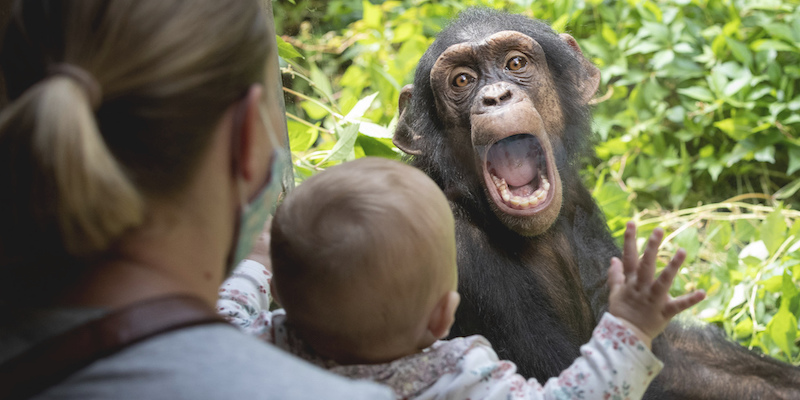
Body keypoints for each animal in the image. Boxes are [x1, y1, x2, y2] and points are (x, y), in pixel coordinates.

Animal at [394, 7, 800, 398]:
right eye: (462, 81)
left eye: (515, 64)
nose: (495, 96)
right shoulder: (455, 251)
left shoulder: (579, 202)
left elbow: (667, 357)